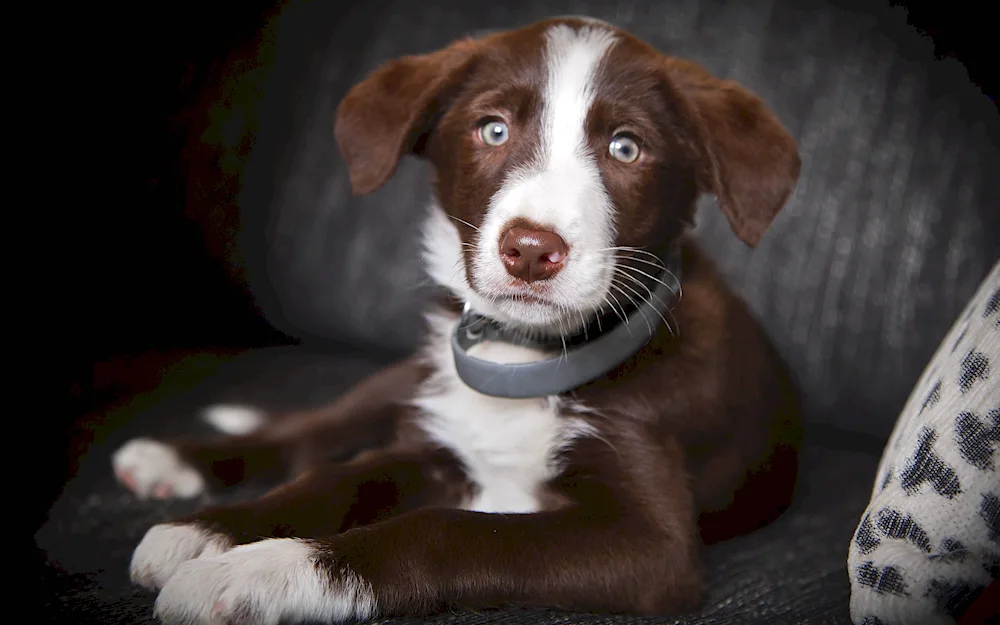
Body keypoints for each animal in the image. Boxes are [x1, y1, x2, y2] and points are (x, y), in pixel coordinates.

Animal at [111, 15, 804, 624]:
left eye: (626, 147)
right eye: (492, 131)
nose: (531, 250)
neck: (520, 360)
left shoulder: (652, 545)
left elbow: (444, 530)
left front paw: (265, 571)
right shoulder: (430, 439)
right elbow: (331, 482)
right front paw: (218, 533)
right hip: (405, 380)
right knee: (310, 435)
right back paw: (172, 466)